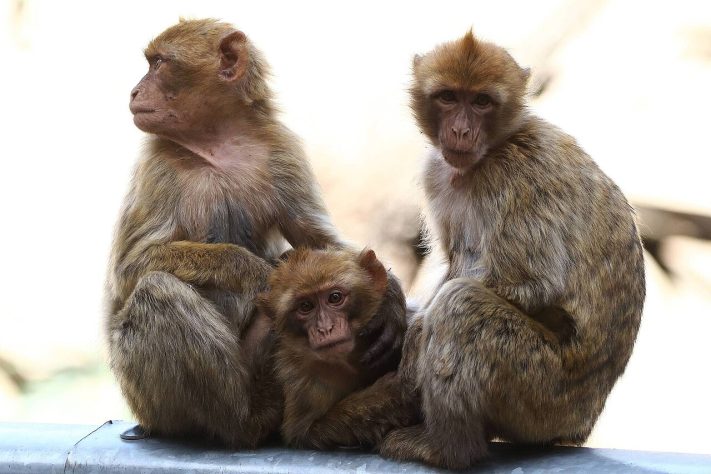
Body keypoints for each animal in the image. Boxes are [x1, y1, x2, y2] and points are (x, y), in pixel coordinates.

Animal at [256, 247, 411, 449]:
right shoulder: (302, 380)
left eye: (334, 297)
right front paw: (388, 393)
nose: (325, 328)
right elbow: (303, 434)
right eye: (306, 306)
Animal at [369, 30, 647, 469]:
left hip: (542, 393)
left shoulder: (515, 175)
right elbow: (456, 265)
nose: (461, 131)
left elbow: (531, 284)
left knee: (462, 306)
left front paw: (413, 335)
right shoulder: (438, 172)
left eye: (482, 101)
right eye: (448, 97)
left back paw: (448, 448)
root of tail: (582, 422)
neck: (492, 150)